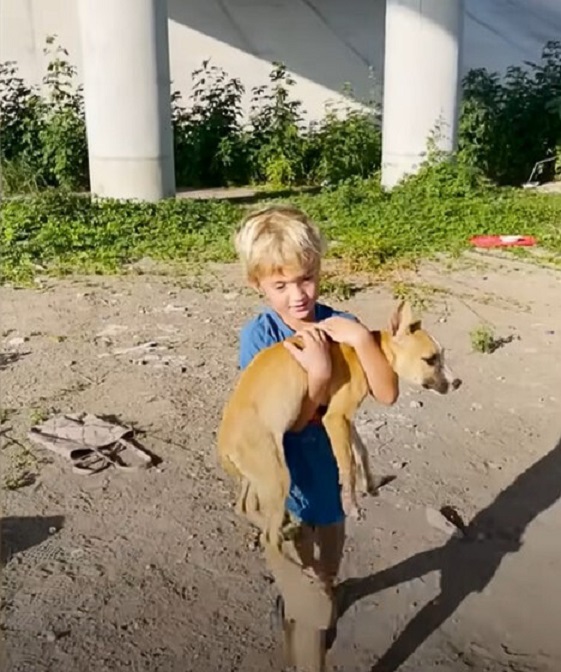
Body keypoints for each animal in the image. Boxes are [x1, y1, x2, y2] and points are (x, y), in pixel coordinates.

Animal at [217, 302, 458, 548]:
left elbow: (361, 451)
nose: (457, 383)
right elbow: (348, 466)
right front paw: (351, 505)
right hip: (277, 476)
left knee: (244, 507)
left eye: (442, 355)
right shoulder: (334, 418)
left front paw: (369, 484)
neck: (368, 350)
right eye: (430, 359)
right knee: (269, 535)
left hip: (255, 478)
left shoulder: (345, 420)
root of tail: (224, 446)